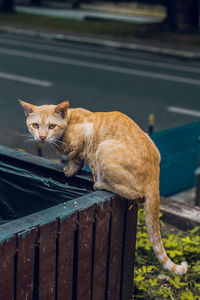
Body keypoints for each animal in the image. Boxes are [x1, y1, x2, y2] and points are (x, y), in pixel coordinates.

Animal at [19, 99, 188, 276]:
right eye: (36, 125)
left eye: (51, 126)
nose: (42, 137)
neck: (69, 122)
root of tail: (155, 174)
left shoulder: (86, 133)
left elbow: (75, 157)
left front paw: (70, 170)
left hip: (104, 148)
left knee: (135, 194)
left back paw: (100, 182)